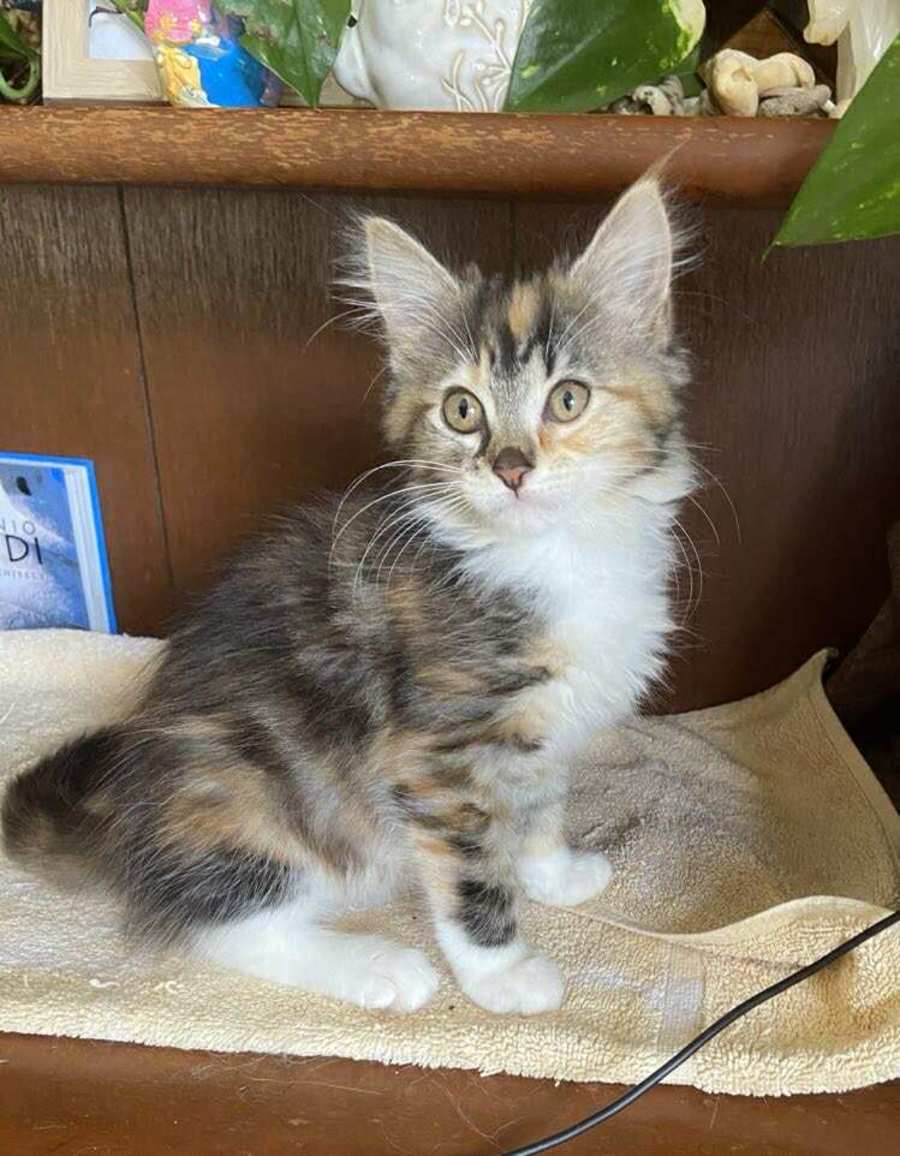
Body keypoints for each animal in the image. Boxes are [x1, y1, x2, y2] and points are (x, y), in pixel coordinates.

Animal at [2, 177, 694, 1015]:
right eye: (462, 410)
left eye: (567, 400)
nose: (510, 467)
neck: (557, 555)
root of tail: (131, 818)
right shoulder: (440, 753)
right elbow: (469, 871)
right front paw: (501, 973)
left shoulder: (540, 731)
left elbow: (538, 806)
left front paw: (552, 873)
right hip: (248, 787)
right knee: (215, 923)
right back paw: (378, 965)